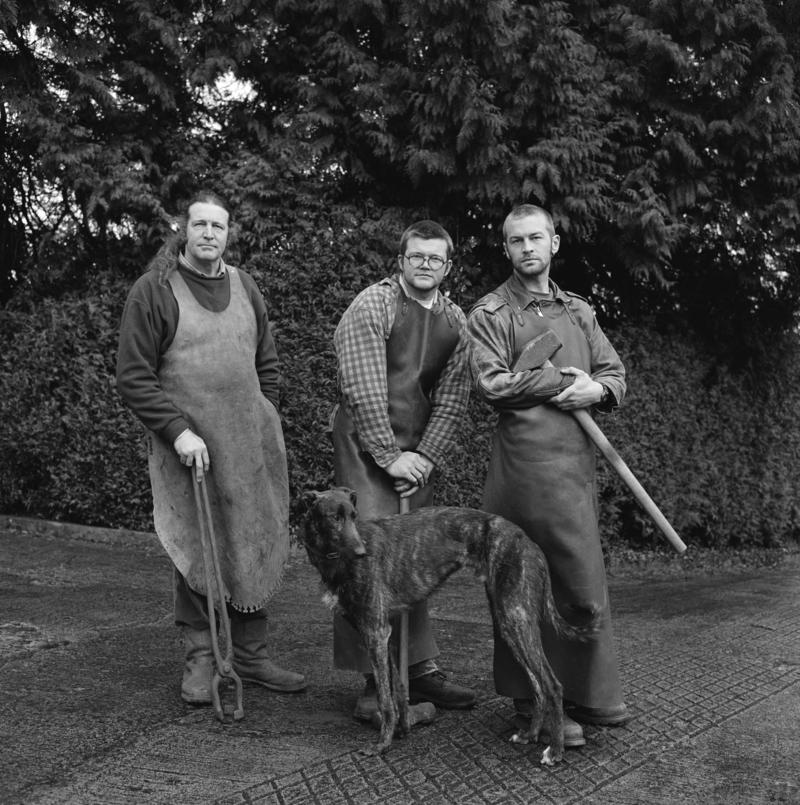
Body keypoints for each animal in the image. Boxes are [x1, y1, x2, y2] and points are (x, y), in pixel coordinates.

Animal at [300, 486, 600, 764]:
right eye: (334, 518)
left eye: (353, 515)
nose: (362, 553)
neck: (334, 559)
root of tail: (528, 542)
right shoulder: (385, 634)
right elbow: (397, 689)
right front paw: (402, 729)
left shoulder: (376, 632)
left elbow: (385, 699)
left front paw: (381, 745)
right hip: (509, 621)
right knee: (537, 686)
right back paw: (530, 735)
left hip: (516, 616)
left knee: (552, 684)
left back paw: (556, 751)